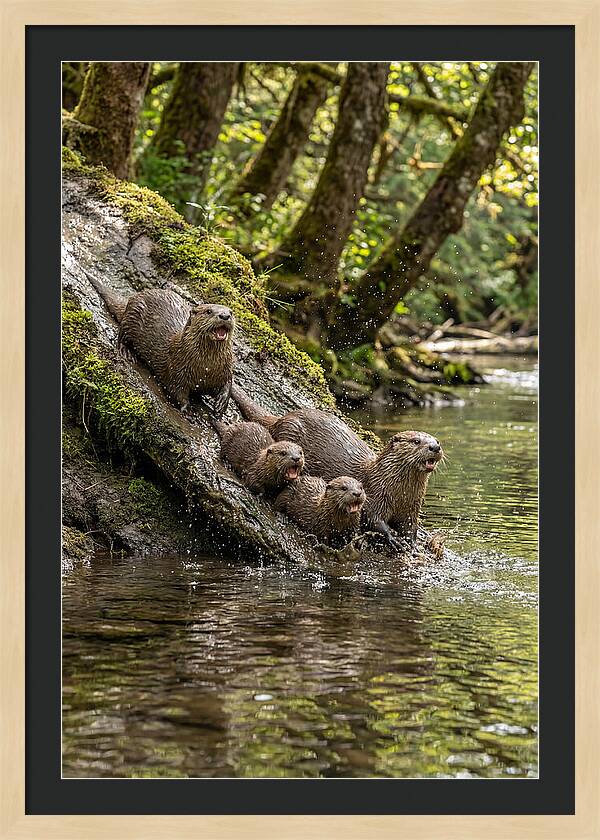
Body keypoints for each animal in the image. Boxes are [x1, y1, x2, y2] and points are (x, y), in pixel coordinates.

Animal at [84, 269, 234, 415]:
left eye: (231, 312)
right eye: (209, 311)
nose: (225, 315)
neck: (206, 368)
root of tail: (134, 297)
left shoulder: (224, 369)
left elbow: (228, 382)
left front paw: (221, 402)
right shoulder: (177, 369)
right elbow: (177, 391)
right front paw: (187, 409)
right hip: (132, 316)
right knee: (121, 334)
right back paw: (126, 352)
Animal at [231, 384, 443, 545]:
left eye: (437, 440)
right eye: (416, 441)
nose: (434, 446)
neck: (399, 493)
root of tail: (282, 418)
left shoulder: (411, 508)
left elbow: (410, 526)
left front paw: (412, 542)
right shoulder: (375, 496)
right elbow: (374, 520)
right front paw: (393, 538)